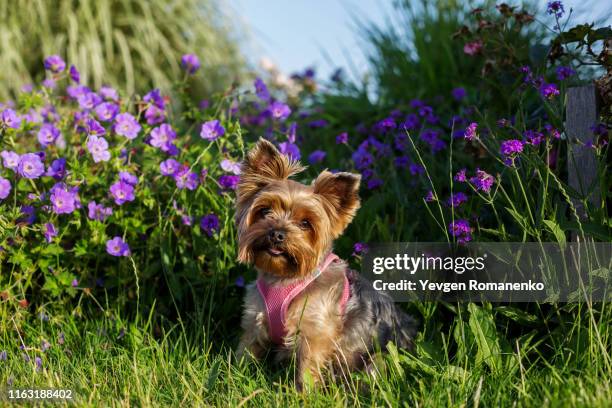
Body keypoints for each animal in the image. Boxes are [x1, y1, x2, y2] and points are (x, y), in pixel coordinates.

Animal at [234, 139, 416, 388]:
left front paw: (303, 393)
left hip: (379, 358)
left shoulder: (314, 331)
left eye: (305, 223)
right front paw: (231, 376)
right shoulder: (255, 318)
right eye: (265, 210)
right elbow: (246, 350)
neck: (284, 278)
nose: (277, 234)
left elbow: (307, 369)